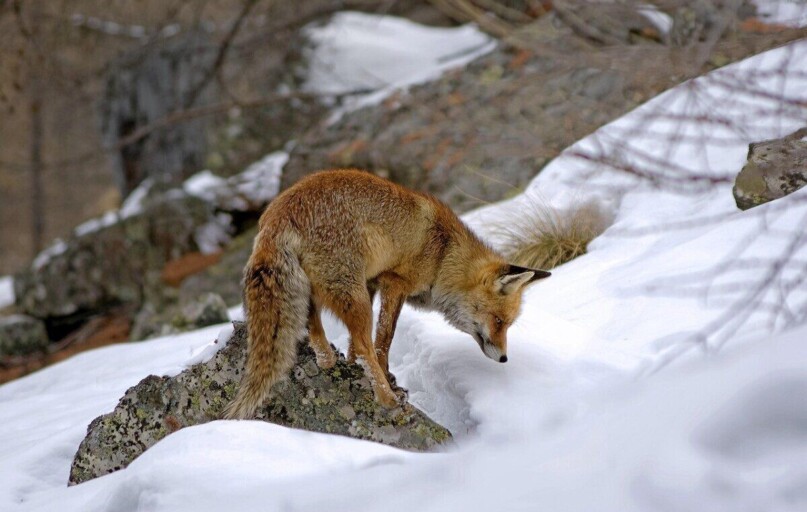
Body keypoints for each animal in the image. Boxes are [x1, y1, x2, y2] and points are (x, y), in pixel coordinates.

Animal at [223, 169, 550, 419]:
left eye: (507, 324)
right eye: (499, 321)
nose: (505, 358)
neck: (444, 255)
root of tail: (277, 214)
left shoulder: (372, 283)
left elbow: (358, 346)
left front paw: (352, 365)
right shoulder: (394, 283)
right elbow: (383, 341)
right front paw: (386, 381)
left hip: (328, 288)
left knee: (314, 322)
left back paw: (327, 358)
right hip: (353, 296)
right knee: (364, 343)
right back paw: (386, 398)